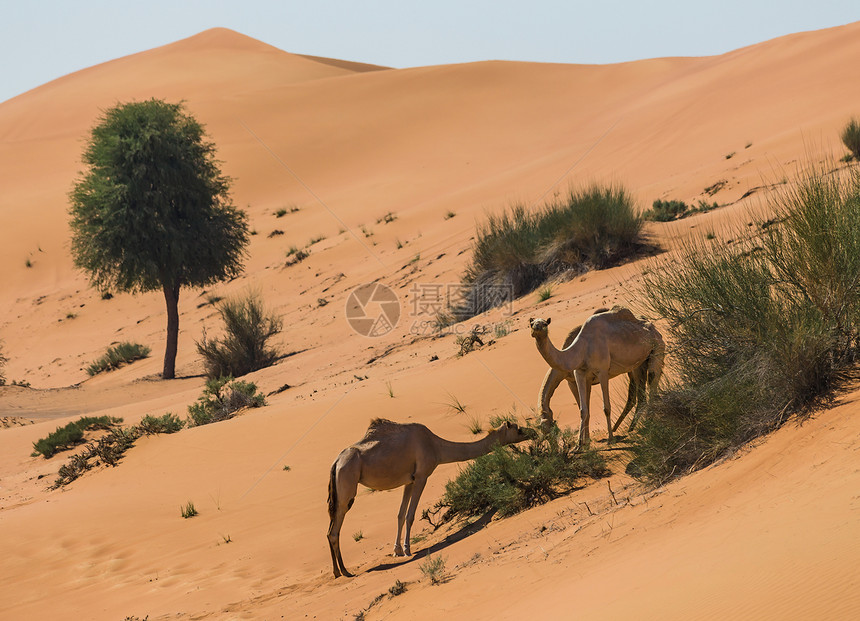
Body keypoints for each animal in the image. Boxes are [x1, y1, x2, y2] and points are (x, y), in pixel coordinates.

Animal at [330, 416, 532, 576]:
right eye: (517, 428)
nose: (532, 432)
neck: (436, 446)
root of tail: (336, 462)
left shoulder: (409, 480)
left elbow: (400, 515)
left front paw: (396, 550)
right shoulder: (422, 476)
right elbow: (410, 515)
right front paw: (407, 549)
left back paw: (338, 572)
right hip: (347, 484)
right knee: (334, 530)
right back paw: (344, 572)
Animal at [532, 306, 664, 448]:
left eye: (545, 324)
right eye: (531, 323)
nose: (536, 328)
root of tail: (653, 327)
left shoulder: (602, 372)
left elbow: (606, 407)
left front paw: (608, 440)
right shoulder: (578, 376)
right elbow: (583, 409)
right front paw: (581, 444)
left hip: (657, 347)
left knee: (652, 381)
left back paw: (646, 423)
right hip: (639, 363)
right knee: (640, 394)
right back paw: (633, 426)